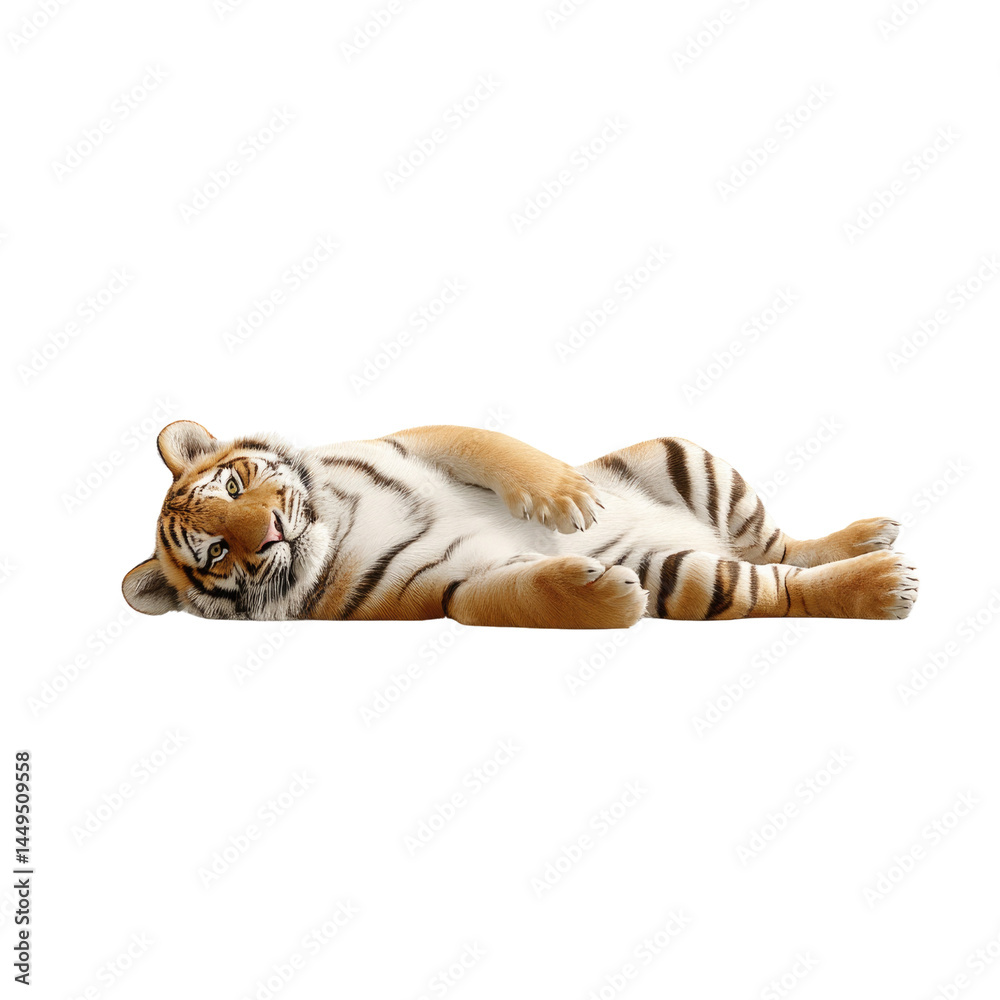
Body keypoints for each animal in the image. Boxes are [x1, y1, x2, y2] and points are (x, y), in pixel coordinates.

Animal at [122, 421, 918, 627]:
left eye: (235, 482)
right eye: (217, 553)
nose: (272, 534)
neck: (338, 524)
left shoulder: (421, 439)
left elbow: (495, 448)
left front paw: (566, 501)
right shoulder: (442, 589)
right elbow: (497, 600)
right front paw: (604, 595)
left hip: (685, 458)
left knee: (784, 546)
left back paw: (870, 537)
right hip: (686, 574)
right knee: (773, 584)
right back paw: (884, 584)